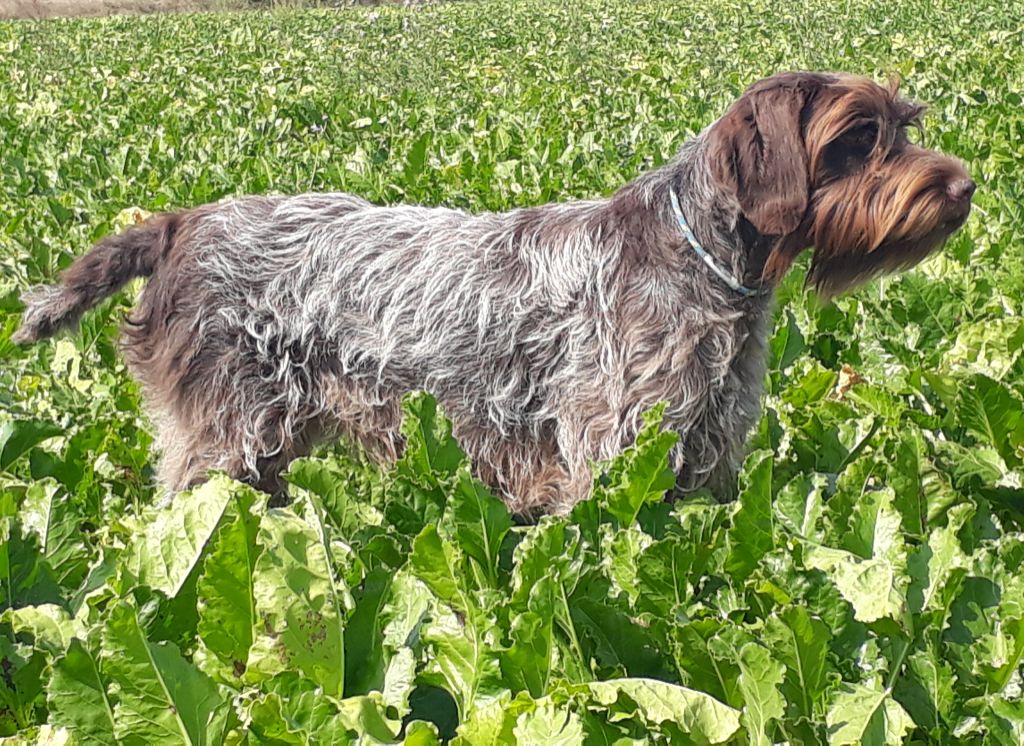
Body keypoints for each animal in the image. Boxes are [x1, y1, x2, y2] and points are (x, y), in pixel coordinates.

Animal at [18, 72, 974, 515]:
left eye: (904, 128)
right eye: (856, 138)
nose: (965, 187)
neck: (704, 264)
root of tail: (183, 222)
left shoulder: (710, 460)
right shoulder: (608, 458)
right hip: (224, 444)